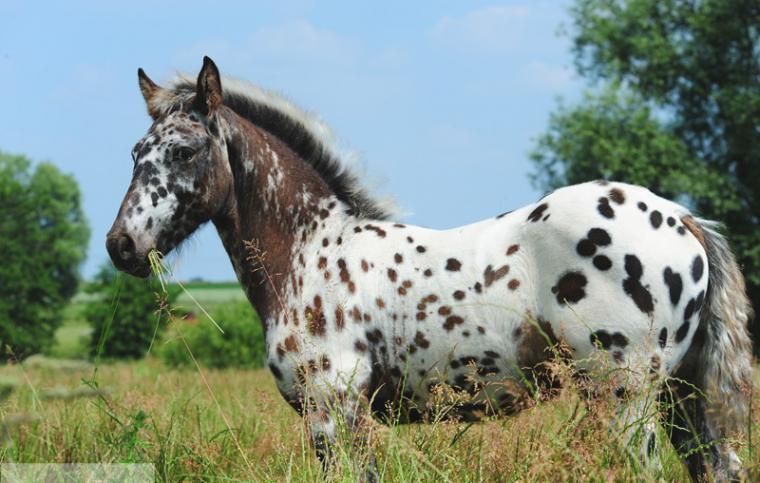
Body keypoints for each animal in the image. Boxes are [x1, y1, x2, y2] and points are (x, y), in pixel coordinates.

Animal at [107, 57, 756, 483]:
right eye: (135, 154)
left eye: (184, 151)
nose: (121, 246)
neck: (312, 253)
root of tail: (684, 219)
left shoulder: (332, 415)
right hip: (680, 397)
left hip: (627, 397)